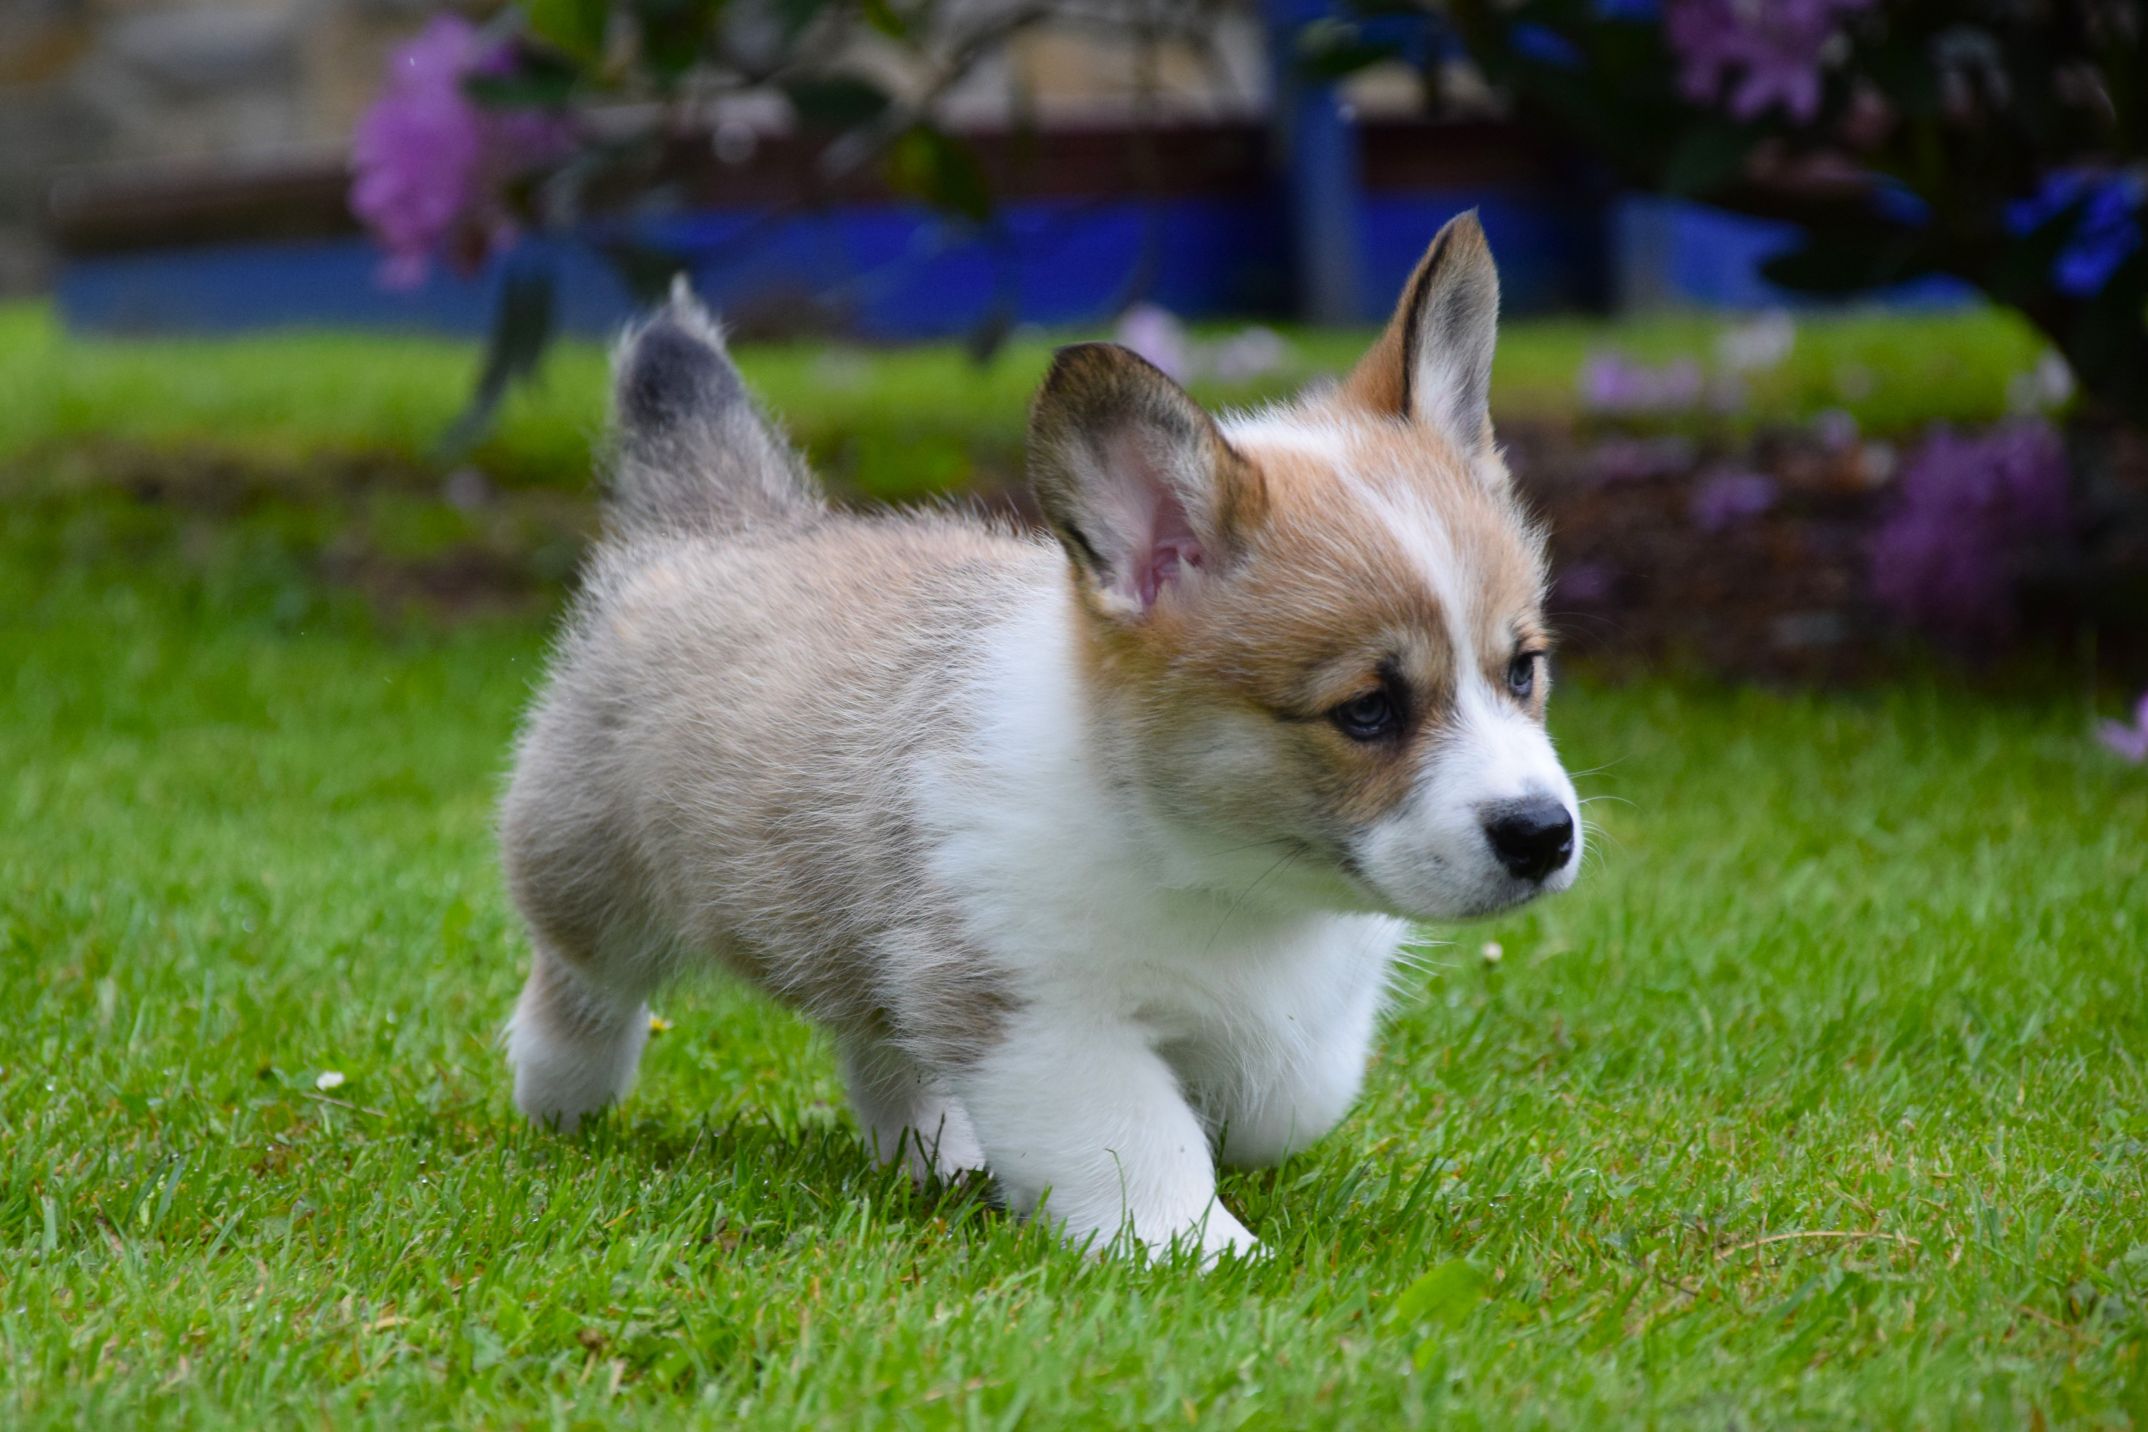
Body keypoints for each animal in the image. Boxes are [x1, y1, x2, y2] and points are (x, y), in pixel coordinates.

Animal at [499, 212, 1581, 1260]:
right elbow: (1138, 1136)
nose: (1544, 836)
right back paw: (561, 1098)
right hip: (591, 875)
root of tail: (713, 527)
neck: (1219, 870)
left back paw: (933, 1151)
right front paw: (1195, 1246)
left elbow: (1289, 1092)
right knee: (581, 985)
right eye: (1367, 710)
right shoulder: (1037, 1012)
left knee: (880, 1039)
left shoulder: (1290, 1014)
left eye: (1523, 669)